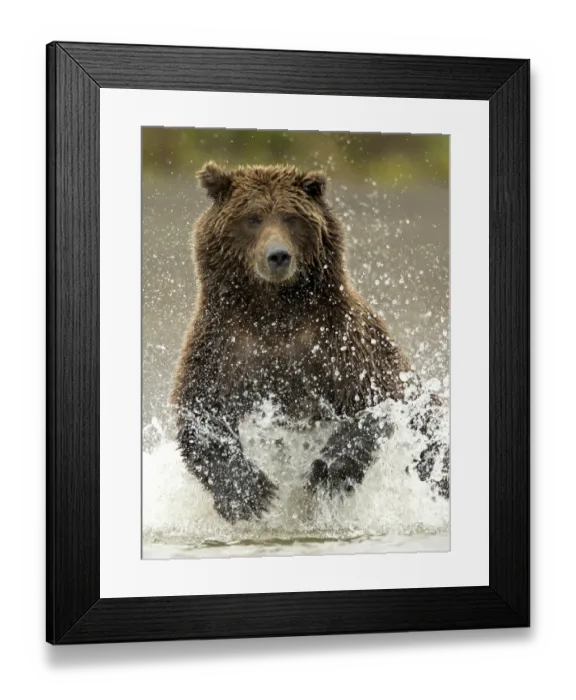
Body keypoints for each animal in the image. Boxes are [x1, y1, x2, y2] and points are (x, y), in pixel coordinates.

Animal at [171, 161, 449, 524]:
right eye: (253, 218)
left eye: (291, 218)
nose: (278, 256)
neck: (274, 312)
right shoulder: (222, 344)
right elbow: (200, 412)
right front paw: (252, 495)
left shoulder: (340, 343)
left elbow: (376, 405)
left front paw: (322, 475)